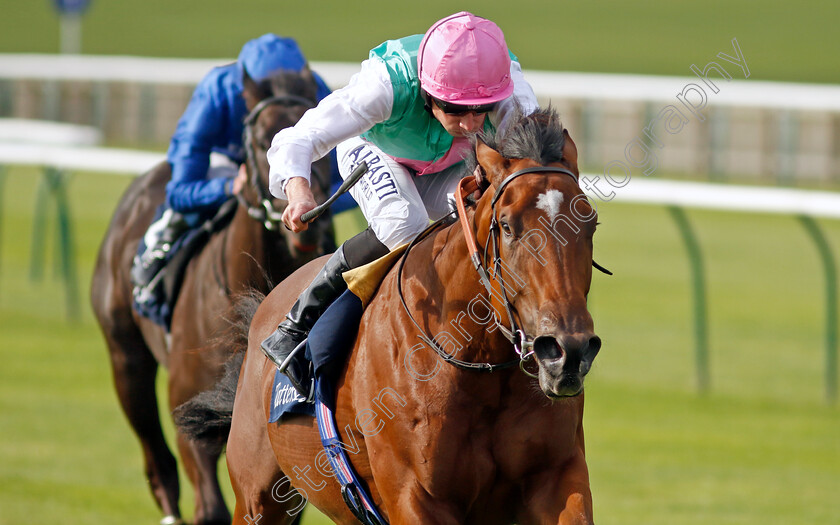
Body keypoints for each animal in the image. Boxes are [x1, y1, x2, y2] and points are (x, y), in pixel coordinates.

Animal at [88, 69, 332, 524]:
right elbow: (211, 507)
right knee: (159, 465)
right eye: (265, 141)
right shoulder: (190, 413)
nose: (313, 222)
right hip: (126, 360)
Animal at [213, 107, 600, 524]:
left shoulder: (558, 474)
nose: (568, 352)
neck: (478, 363)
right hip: (258, 498)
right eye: (508, 226)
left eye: (590, 222)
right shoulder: (414, 495)